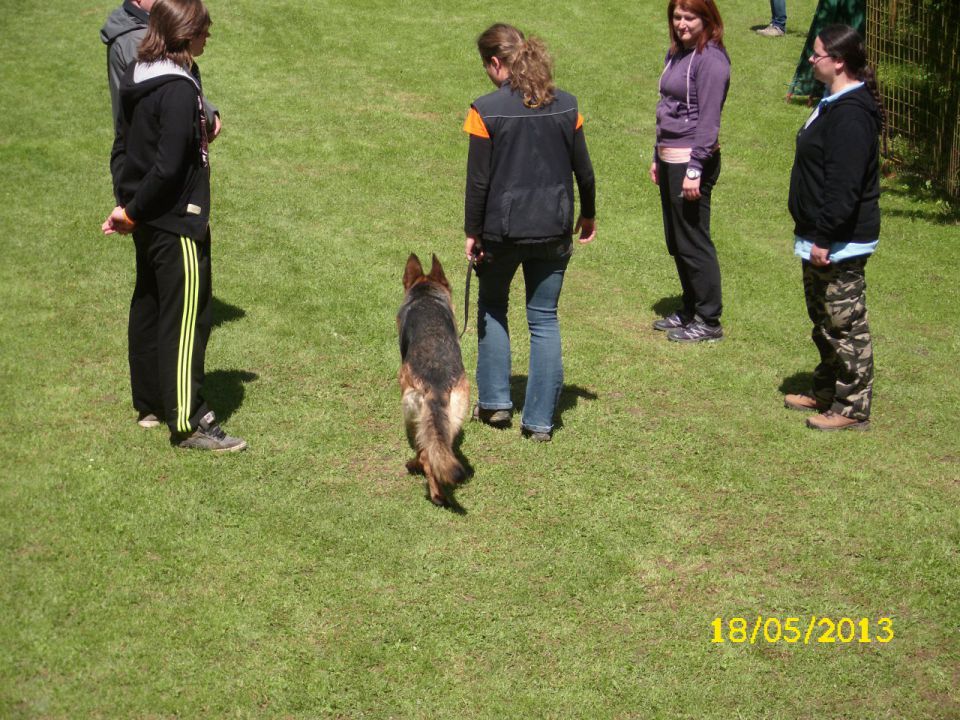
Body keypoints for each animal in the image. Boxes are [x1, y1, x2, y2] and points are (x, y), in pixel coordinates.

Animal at [396, 255, 470, 506]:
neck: (427, 293)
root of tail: (437, 383)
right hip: (453, 415)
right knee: (436, 449)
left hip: (410, 407)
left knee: (425, 452)